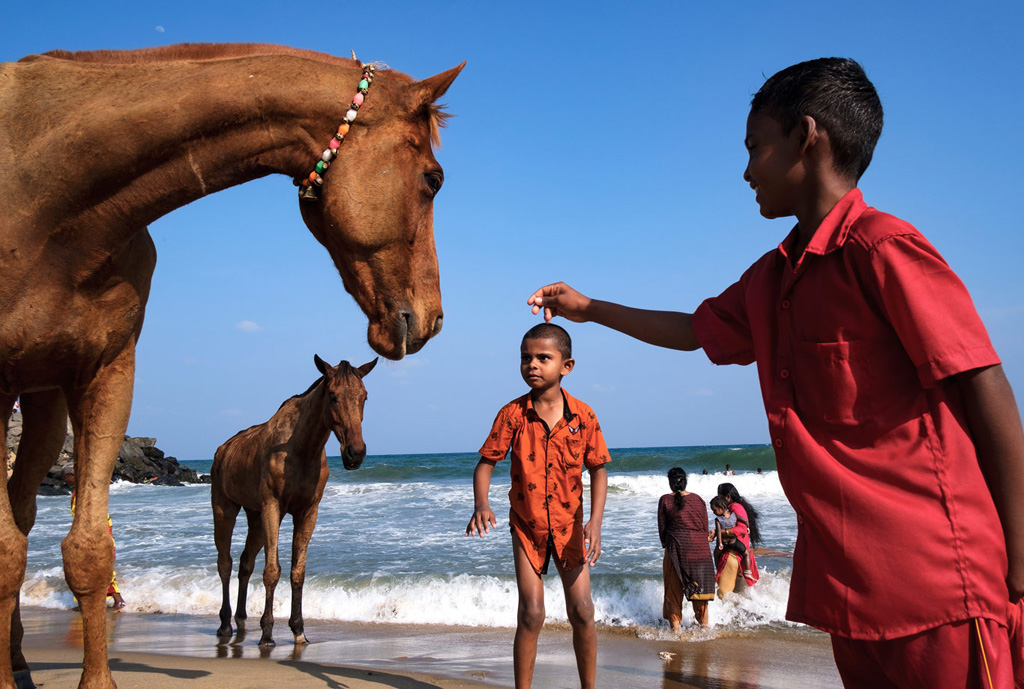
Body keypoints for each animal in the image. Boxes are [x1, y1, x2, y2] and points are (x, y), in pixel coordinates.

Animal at [210, 354, 376, 647]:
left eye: (364, 396)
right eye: (332, 396)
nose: (355, 453)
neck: (300, 449)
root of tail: (223, 449)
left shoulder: (307, 512)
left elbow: (297, 571)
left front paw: (298, 629)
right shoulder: (272, 508)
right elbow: (272, 571)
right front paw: (267, 633)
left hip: (255, 517)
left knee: (244, 564)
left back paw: (240, 620)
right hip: (225, 510)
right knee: (225, 563)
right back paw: (225, 624)